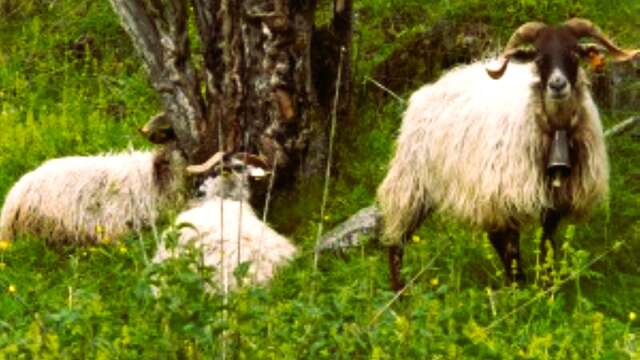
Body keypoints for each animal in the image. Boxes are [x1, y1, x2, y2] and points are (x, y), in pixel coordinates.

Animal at [378, 18, 636, 292]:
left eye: (575, 52)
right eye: (539, 57)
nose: (557, 85)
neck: (555, 128)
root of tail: (427, 90)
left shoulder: (554, 202)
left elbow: (546, 245)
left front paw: (546, 288)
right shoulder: (506, 196)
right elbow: (513, 251)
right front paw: (519, 290)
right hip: (413, 182)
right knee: (397, 240)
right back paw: (400, 292)